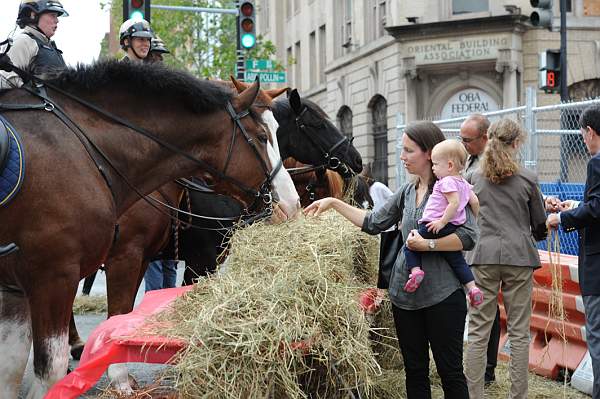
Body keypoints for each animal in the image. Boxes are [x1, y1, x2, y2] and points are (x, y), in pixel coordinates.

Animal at [0, 58, 298, 396]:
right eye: (261, 136)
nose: (291, 203)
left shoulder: (19, 285)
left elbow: (11, 366)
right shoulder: (68, 271)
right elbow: (109, 320)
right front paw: (119, 377)